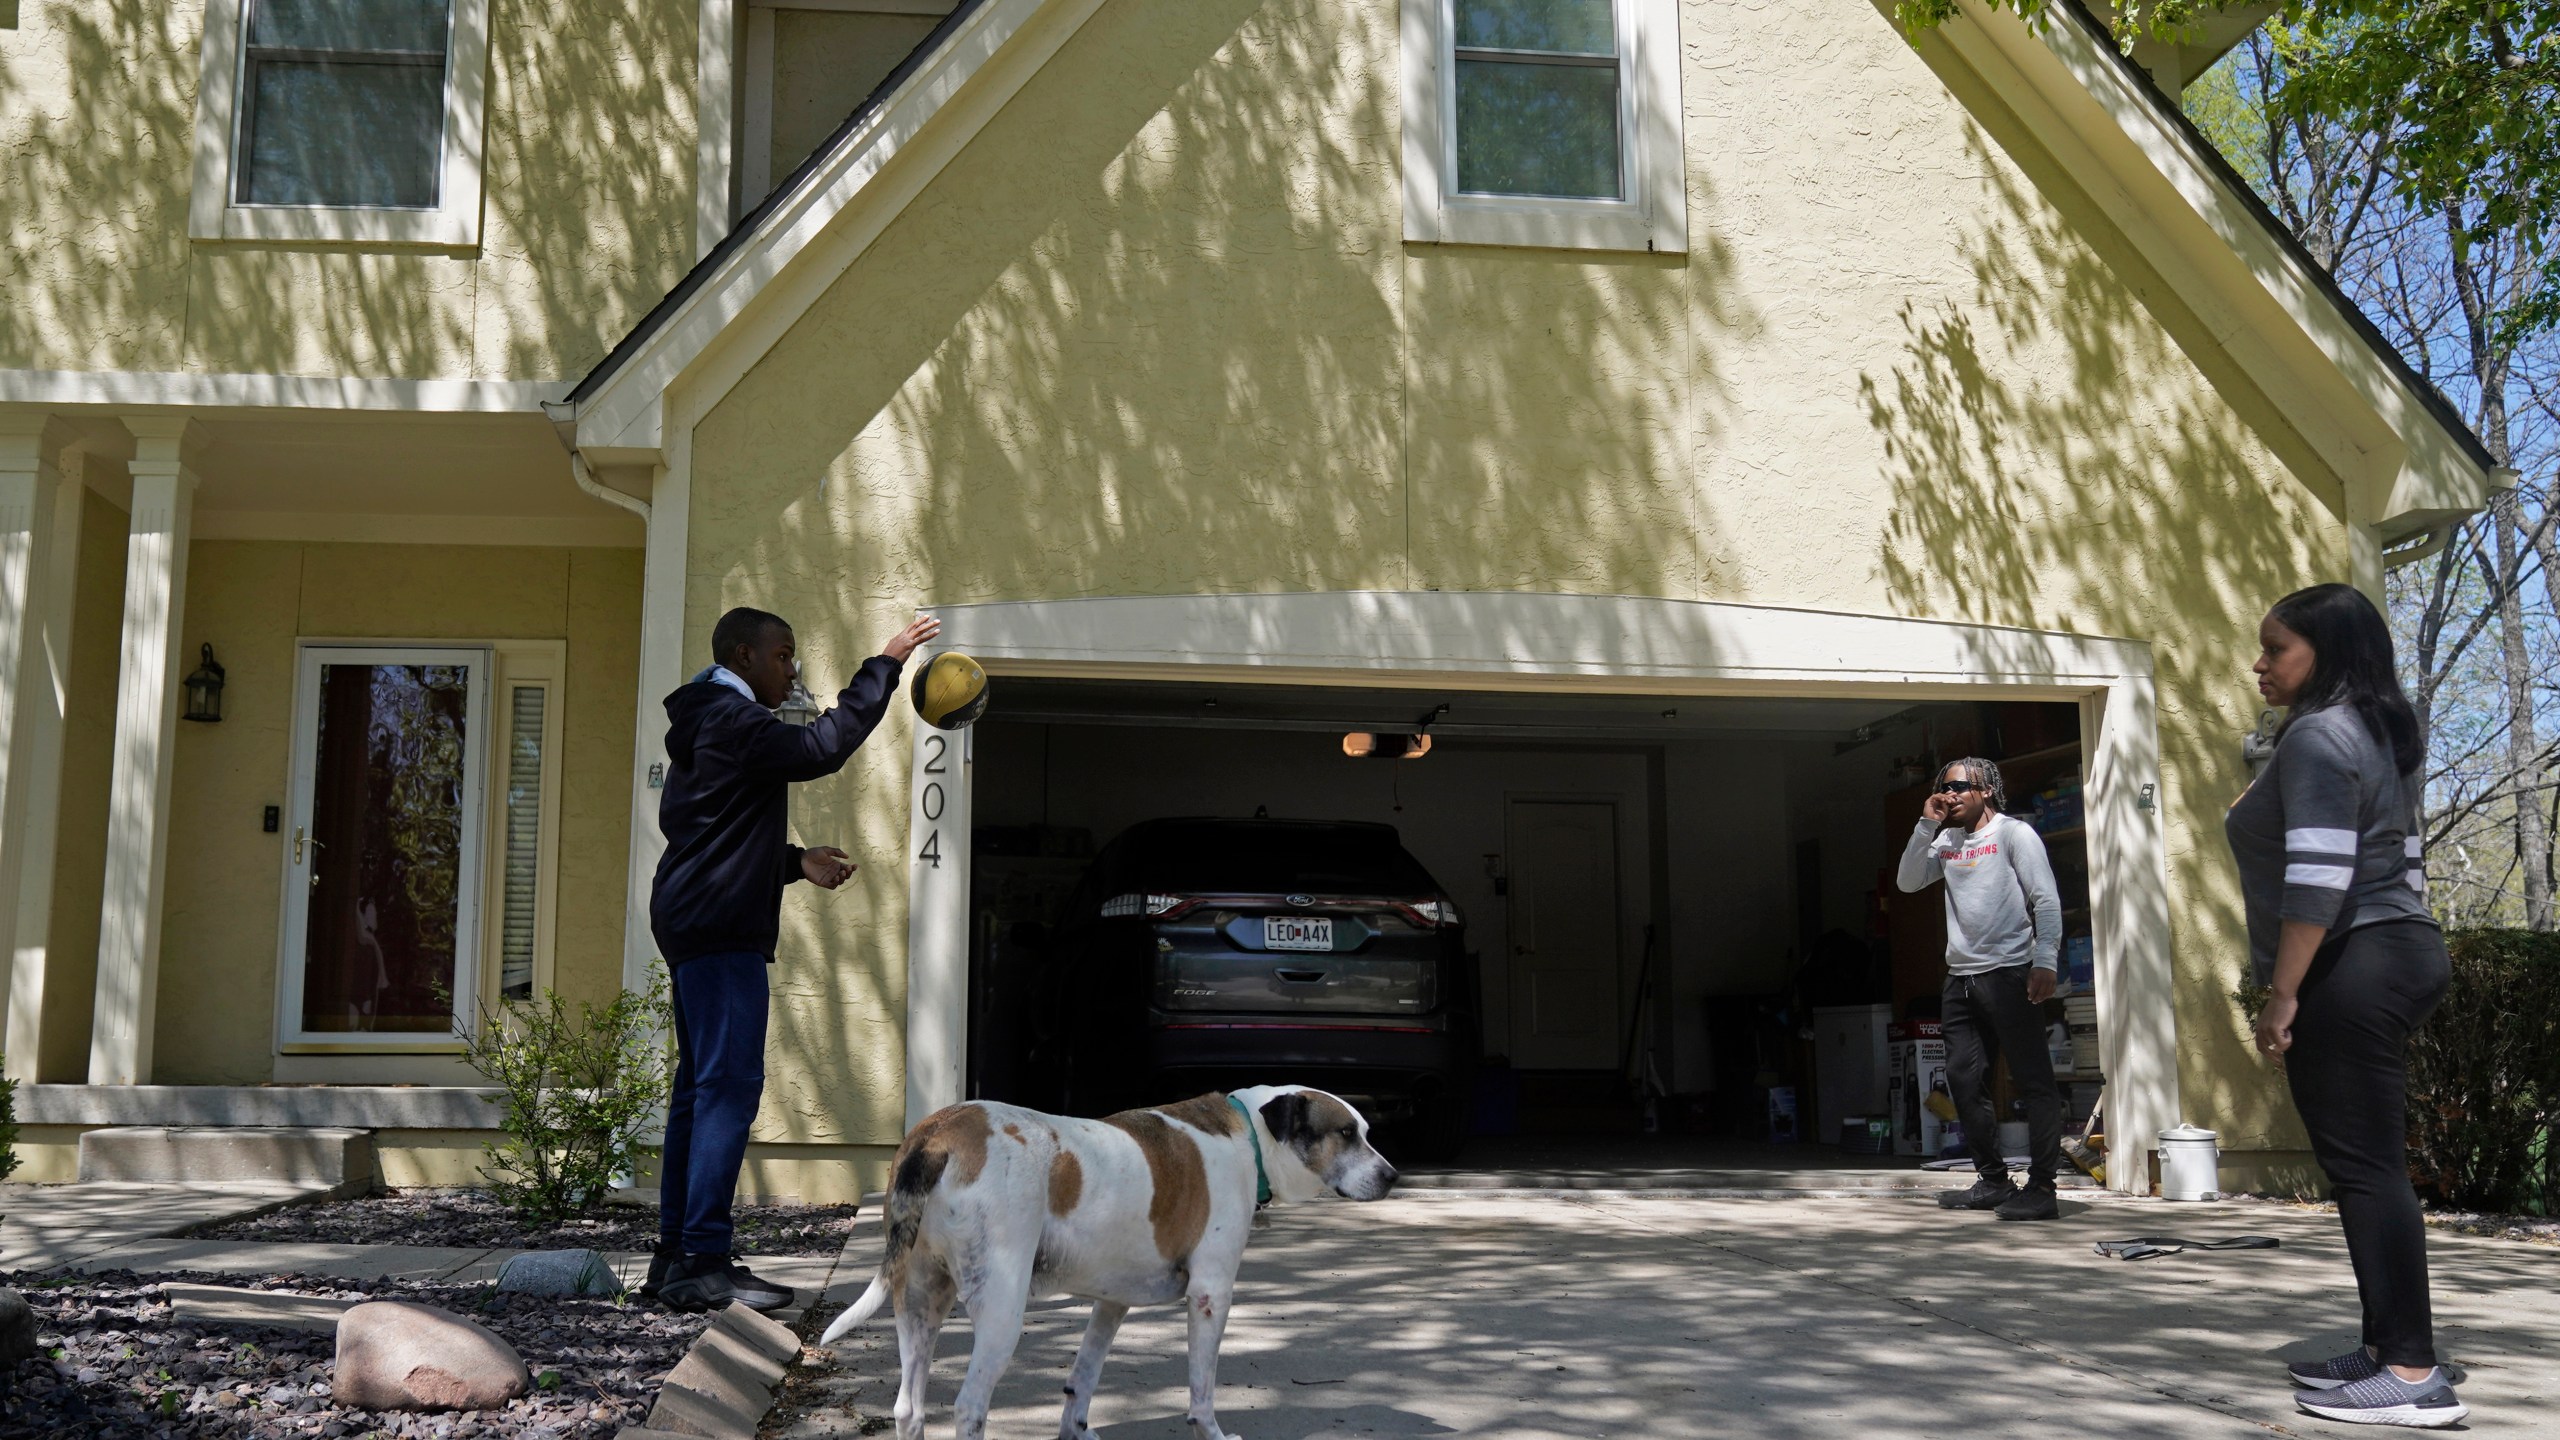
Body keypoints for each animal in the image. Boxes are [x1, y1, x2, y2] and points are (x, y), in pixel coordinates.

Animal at [824, 1081, 1402, 1434]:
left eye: (1366, 1133)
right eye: (1345, 1134)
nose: (1394, 1176)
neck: (1250, 1140)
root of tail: (938, 1132)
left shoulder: (1111, 1303)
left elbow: (1082, 1380)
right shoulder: (1211, 1296)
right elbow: (1202, 1393)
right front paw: (1211, 1430)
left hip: (920, 1303)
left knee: (909, 1409)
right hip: (1002, 1313)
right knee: (968, 1409)